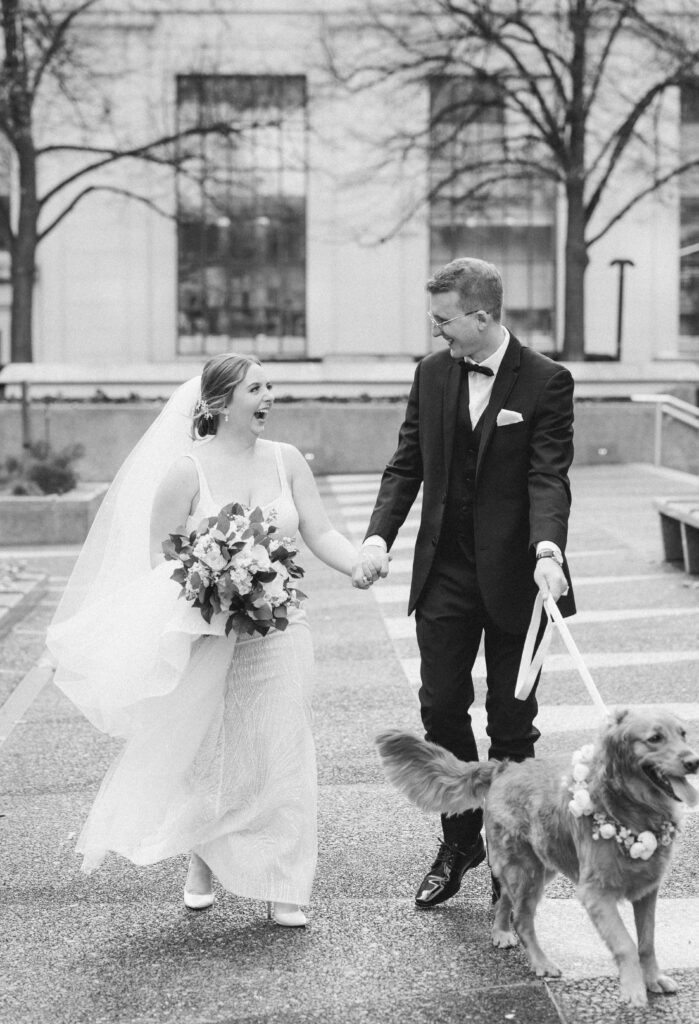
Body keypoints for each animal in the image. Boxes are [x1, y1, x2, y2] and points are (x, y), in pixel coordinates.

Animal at [376, 708, 699, 1003]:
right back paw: (540, 962)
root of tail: (503, 768)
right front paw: (633, 990)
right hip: (526, 870)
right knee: (522, 919)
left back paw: (501, 931)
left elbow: (647, 942)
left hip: (539, 865)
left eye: (683, 734)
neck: (634, 811)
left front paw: (653, 979)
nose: (693, 762)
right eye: (654, 738)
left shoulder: (647, 891)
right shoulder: (596, 894)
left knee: (505, 898)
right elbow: (626, 944)